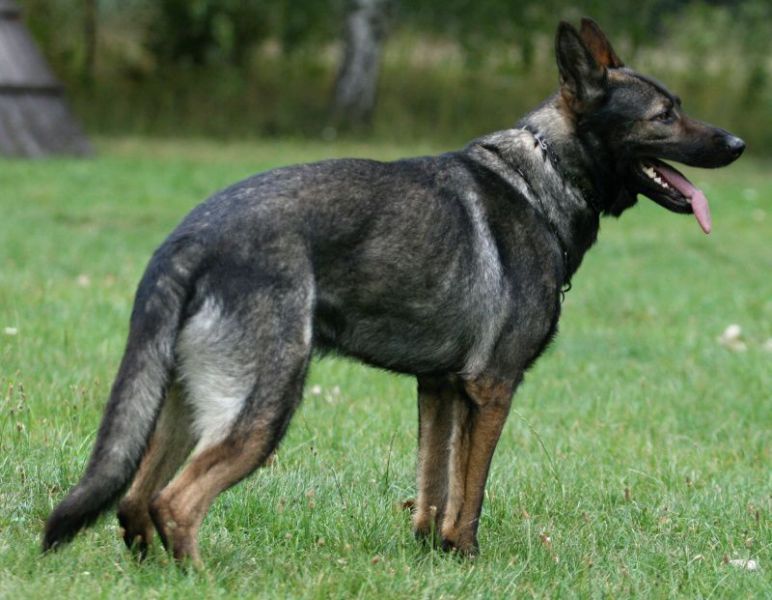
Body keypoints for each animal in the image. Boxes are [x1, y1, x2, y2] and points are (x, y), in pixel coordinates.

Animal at [43, 19, 745, 564]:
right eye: (664, 115)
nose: (738, 143)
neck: (545, 175)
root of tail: (192, 237)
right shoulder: (492, 388)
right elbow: (471, 492)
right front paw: (466, 557)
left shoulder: (439, 388)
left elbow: (434, 485)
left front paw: (431, 553)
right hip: (264, 405)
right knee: (174, 502)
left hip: (185, 404)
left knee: (134, 502)